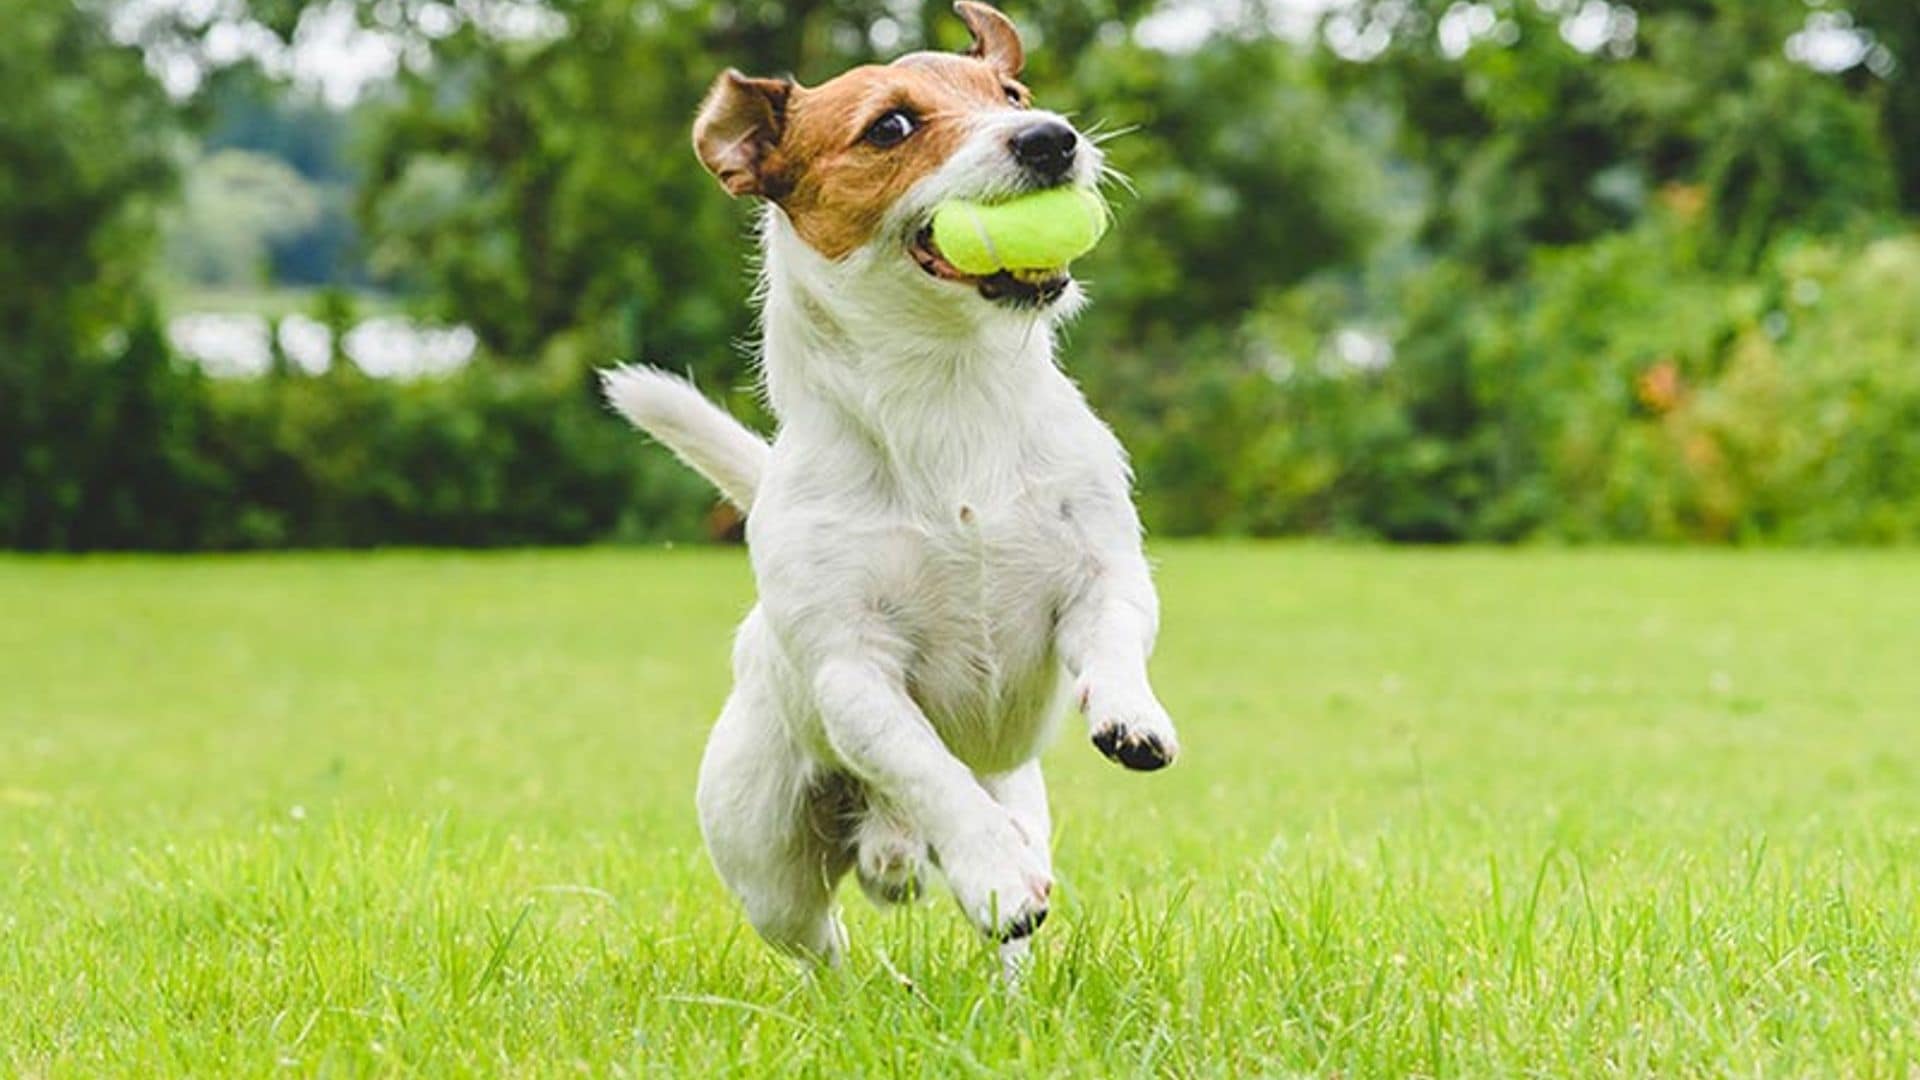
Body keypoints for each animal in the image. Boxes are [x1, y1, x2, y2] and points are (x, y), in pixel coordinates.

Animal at [599, 0, 1175, 968]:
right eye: (892, 127)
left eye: (1012, 94)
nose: (1052, 139)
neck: (950, 394)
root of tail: (881, 836)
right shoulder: (852, 671)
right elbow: (924, 763)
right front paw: (990, 869)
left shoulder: (1104, 571)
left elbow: (1114, 639)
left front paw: (1130, 715)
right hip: (767, 861)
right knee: (822, 945)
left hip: (1018, 793)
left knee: (1007, 914)